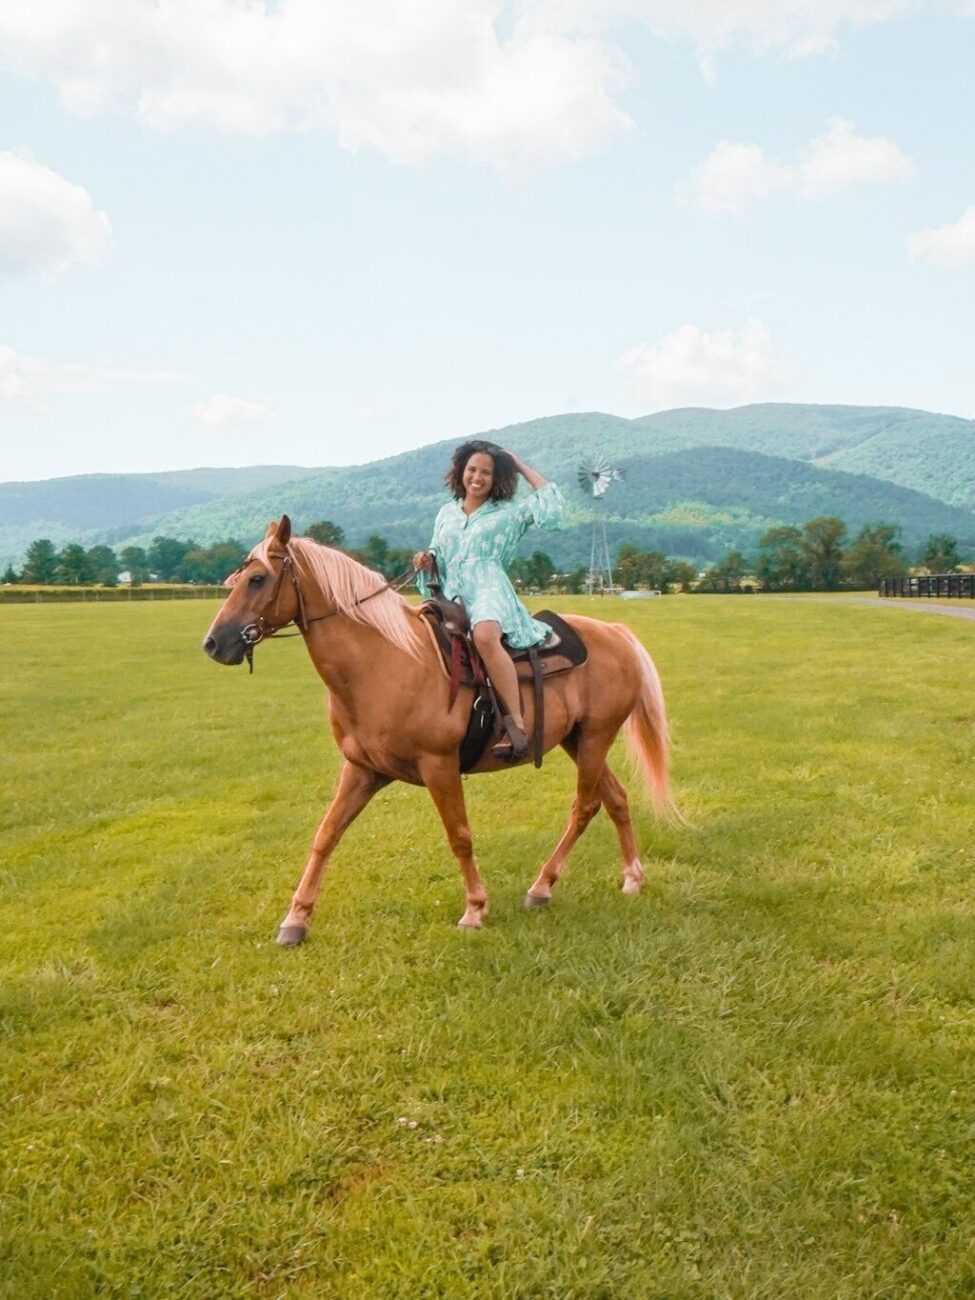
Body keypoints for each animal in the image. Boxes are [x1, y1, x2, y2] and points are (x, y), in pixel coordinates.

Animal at [202, 514, 676, 946]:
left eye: (258, 579)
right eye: (238, 577)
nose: (213, 643)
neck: (383, 664)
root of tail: (615, 632)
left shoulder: (439, 766)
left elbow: (460, 836)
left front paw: (475, 909)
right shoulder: (361, 769)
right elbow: (326, 835)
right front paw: (295, 920)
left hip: (595, 738)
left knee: (584, 806)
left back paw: (542, 886)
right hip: (577, 741)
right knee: (614, 799)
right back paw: (631, 877)